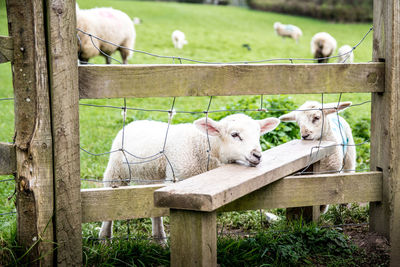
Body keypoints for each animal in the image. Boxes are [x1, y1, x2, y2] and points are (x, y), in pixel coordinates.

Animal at [99, 114, 280, 243]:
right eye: (235, 135)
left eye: (258, 134)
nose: (257, 155)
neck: (206, 147)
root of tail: (135, 122)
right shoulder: (178, 179)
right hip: (116, 171)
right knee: (109, 202)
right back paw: (105, 240)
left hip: (153, 177)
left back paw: (160, 240)